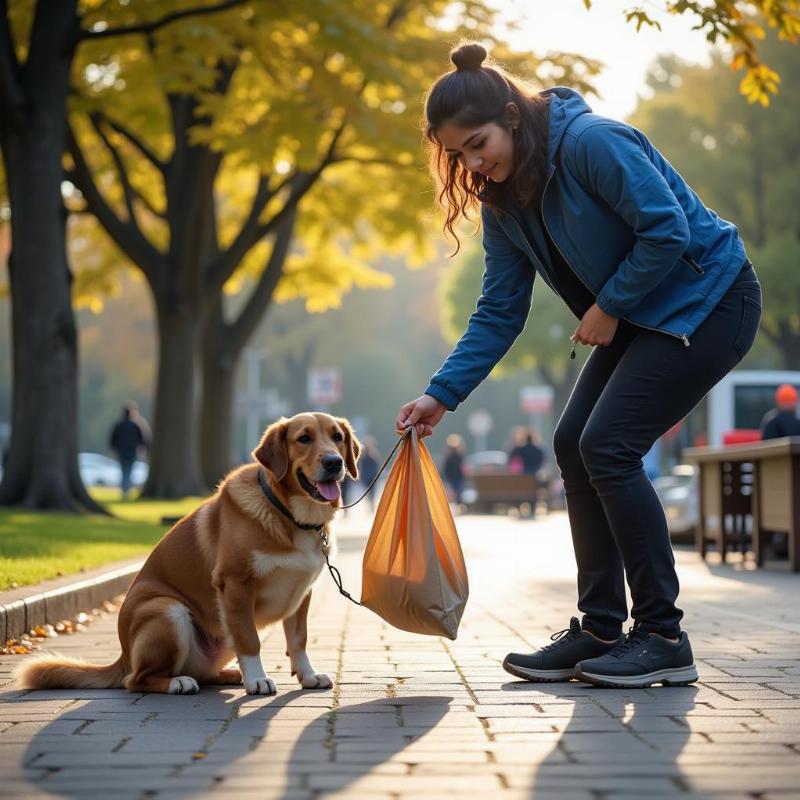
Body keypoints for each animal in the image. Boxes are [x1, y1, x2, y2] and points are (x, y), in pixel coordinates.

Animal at [16, 412, 360, 692]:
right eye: (304, 438)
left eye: (337, 437)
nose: (334, 462)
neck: (290, 516)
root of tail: (123, 657)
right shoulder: (235, 584)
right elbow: (250, 640)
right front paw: (258, 680)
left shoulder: (301, 593)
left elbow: (298, 639)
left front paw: (308, 675)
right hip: (169, 610)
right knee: (137, 680)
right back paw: (179, 683)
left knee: (200, 672)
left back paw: (229, 675)